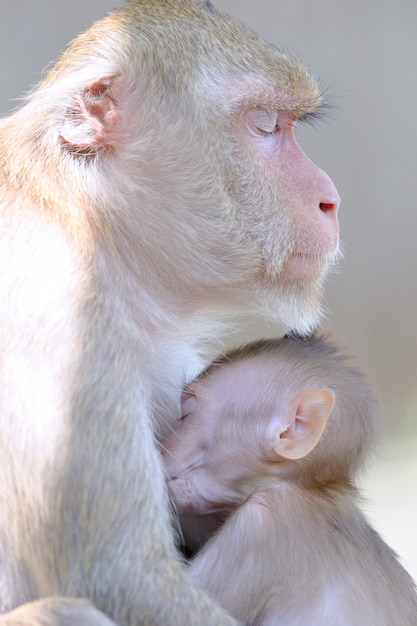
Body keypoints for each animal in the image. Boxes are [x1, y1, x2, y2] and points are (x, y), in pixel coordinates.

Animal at [0, 1, 338, 624]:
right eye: (264, 125)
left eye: (287, 124)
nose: (331, 199)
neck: (83, 218)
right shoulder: (62, 317)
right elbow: (118, 577)